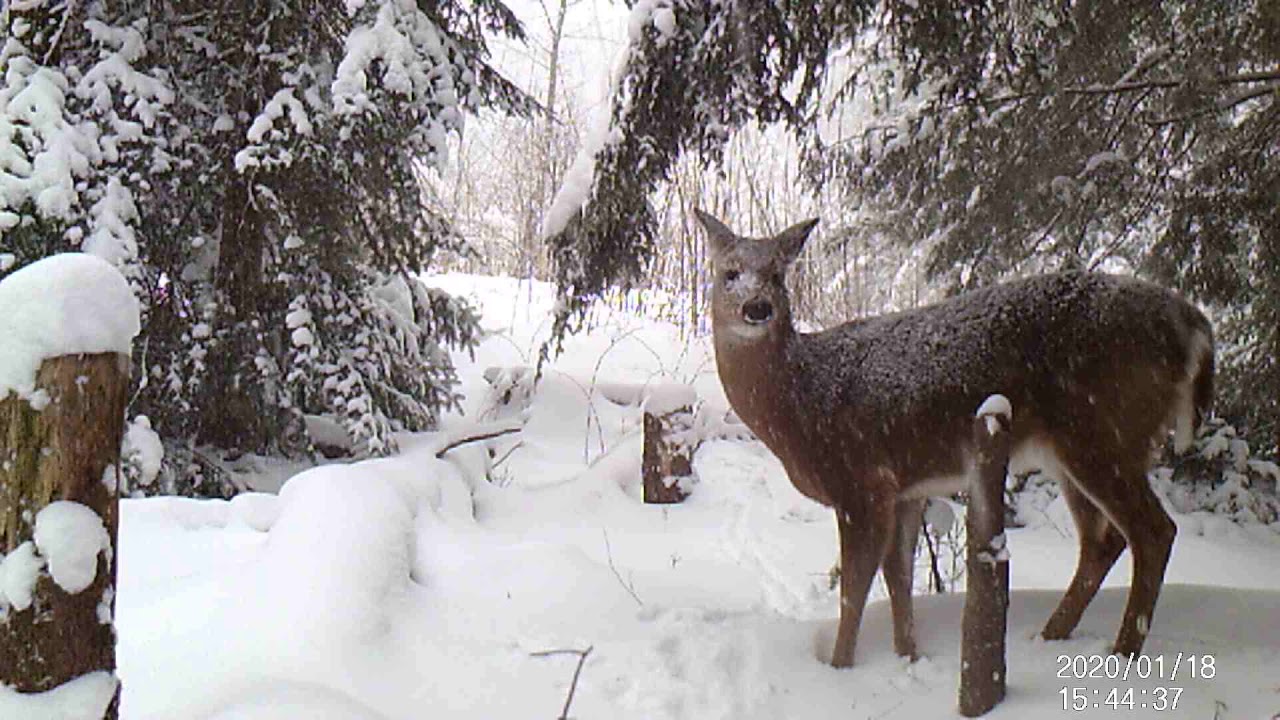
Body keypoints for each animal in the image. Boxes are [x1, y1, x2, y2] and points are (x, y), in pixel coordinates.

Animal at [694, 209, 1215, 668]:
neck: (799, 405)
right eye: (729, 273)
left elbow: (854, 589)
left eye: (777, 275)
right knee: (1102, 543)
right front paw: (908, 656)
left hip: (1104, 432)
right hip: (1074, 451)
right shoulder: (903, 489)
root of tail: (1193, 323)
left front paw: (841, 668)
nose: (756, 307)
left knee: (1153, 531)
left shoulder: (860, 481)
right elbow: (899, 577)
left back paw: (1121, 652)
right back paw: (1049, 637)